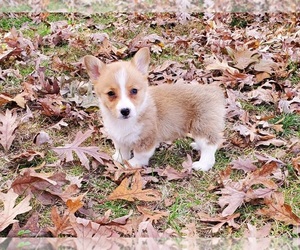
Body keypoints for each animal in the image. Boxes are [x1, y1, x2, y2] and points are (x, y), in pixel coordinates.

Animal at [84, 47, 225, 171]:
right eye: (110, 93)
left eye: (134, 91)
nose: (125, 111)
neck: (124, 122)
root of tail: (214, 91)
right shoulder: (119, 138)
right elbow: (121, 150)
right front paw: (119, 159)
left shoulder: (146, 139)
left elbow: (140, 154)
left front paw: (132, 164)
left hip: (202, 126)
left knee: (210, 146)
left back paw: (203, 165)